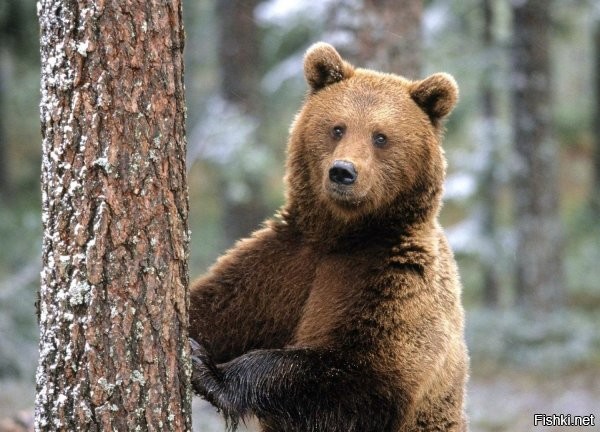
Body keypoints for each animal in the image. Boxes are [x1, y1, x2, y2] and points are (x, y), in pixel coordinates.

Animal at [190, 41, 472, 432]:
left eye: (380, 136)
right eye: (337, 128)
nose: (343, 172)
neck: (343, 235)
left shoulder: (394, 280)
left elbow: (358, 378)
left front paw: (211, 372)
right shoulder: (283, 263)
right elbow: (217, 307)